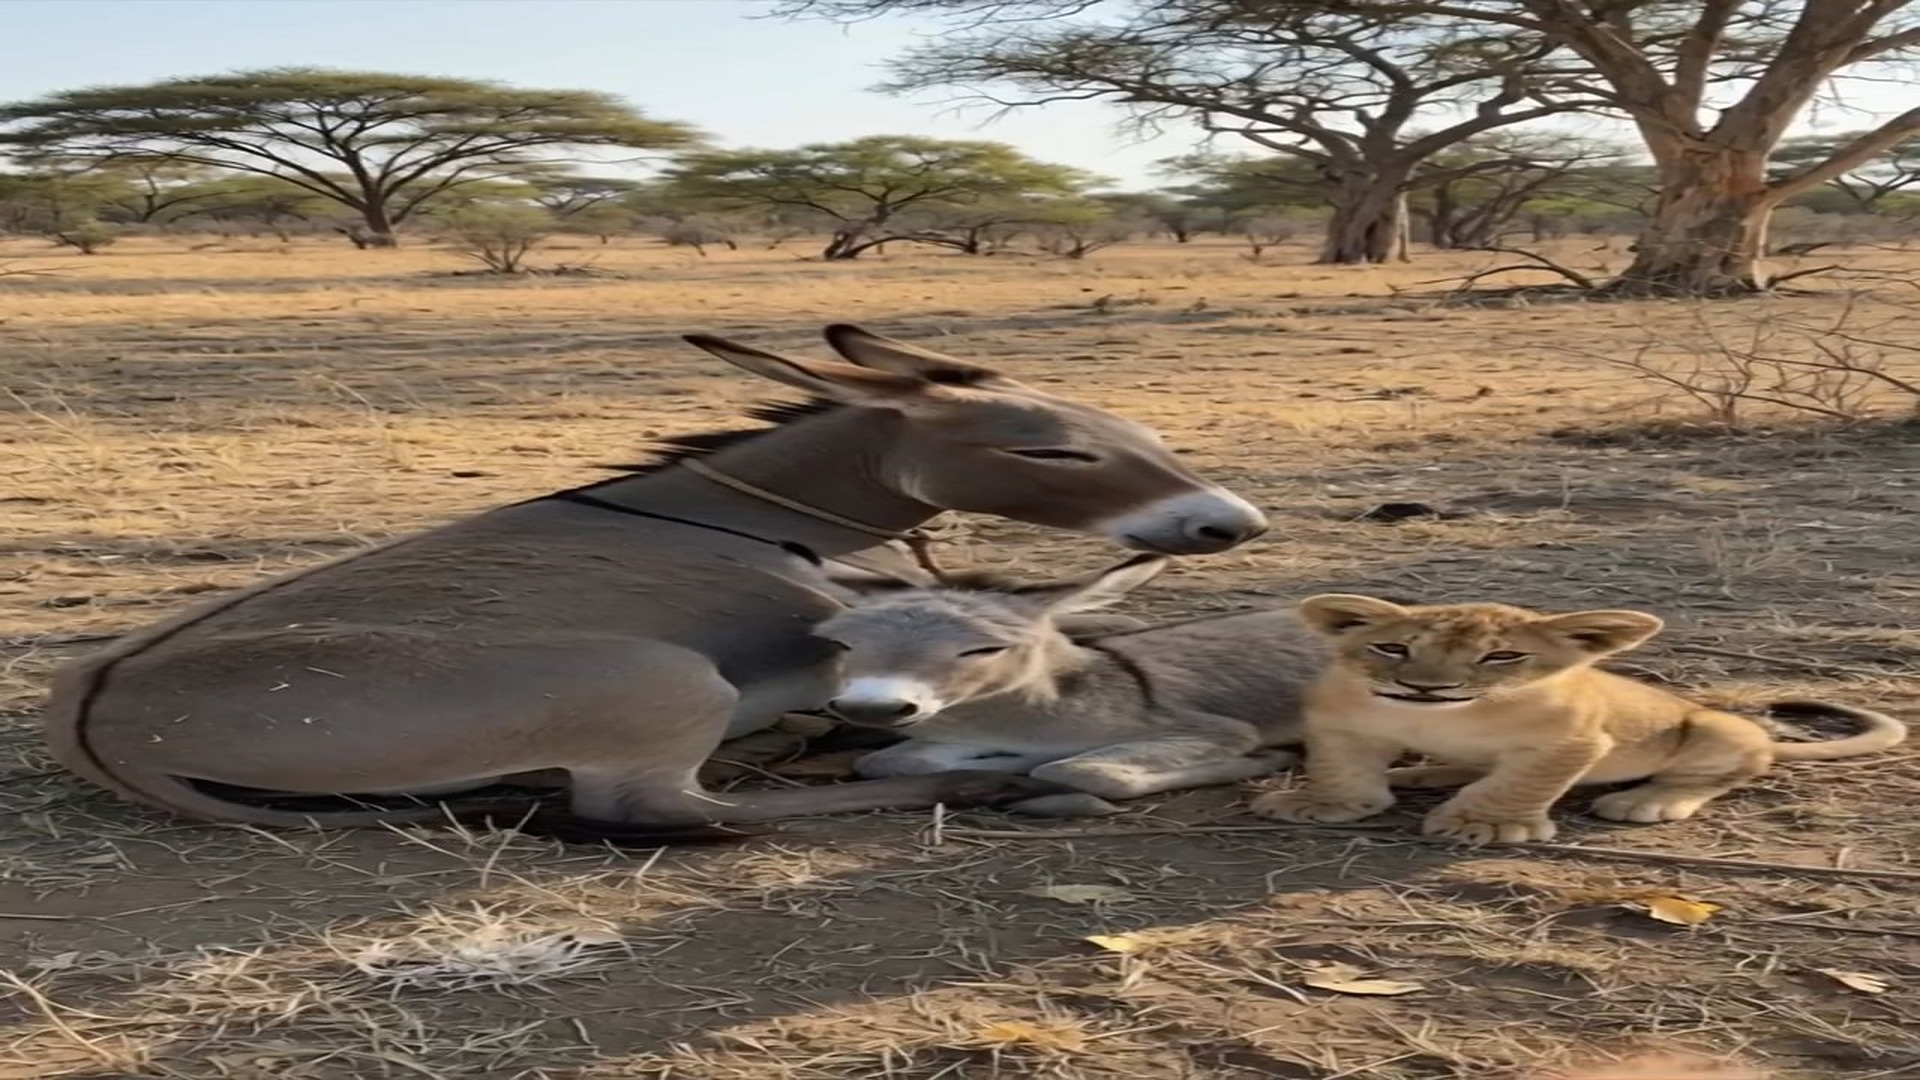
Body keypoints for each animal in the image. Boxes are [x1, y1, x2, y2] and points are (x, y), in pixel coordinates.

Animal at [1249, 594, 1908, 845]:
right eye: (1393, 648)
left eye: (1502, 657)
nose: (1424, 687)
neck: (1443, 720)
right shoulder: (1340, 726)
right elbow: (1342, 771)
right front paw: (1326, 804)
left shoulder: (1573, 741)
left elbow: (1517, 784)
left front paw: (1488, 826)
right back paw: (1419, 773)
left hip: (1720, 728)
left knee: (1720, 773)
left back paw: (1647, 801)